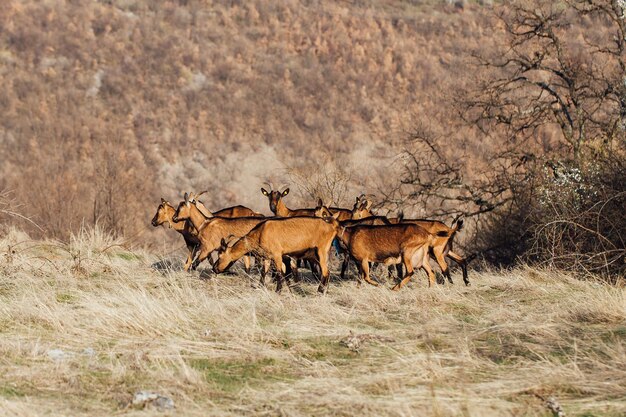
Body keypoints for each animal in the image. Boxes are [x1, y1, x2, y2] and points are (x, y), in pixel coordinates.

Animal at [214, 214, 342, 292]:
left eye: (220, 256)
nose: (214, 268)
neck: (261, 232)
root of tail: (332, 227)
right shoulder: (267, 257)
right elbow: (264, 272)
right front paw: (260, 287)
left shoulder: (277, 255)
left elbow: (280, 272)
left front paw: (278, 290)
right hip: (316, 255)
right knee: (327, 271)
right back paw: (325, 290)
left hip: (321, 251)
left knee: (325, 271)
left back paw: (320, 291)